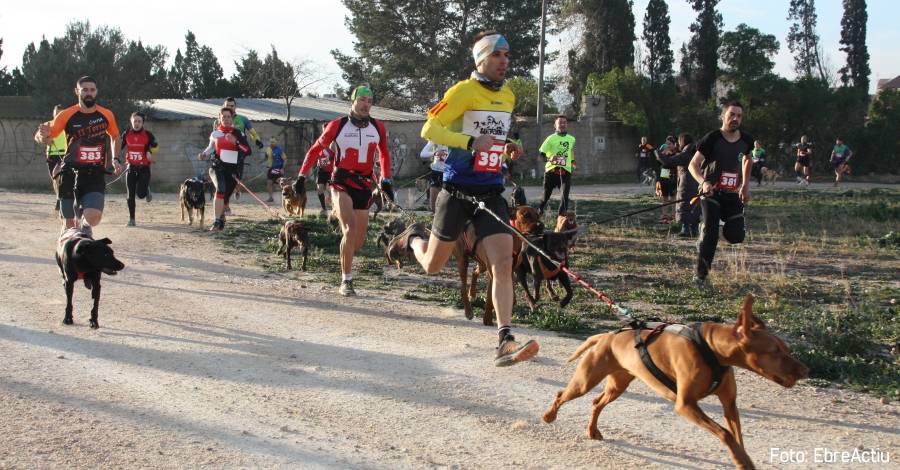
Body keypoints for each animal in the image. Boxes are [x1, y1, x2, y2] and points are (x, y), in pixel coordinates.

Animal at [544, 296, 812, 468]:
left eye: (787, 349)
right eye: (775, 351)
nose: (806, 370)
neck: (711, 349)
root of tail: (607, 335)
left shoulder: (729, 404)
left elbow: (737, 437)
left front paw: (743, 460)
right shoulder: (686, 405)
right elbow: (725, 434)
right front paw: (739, 459)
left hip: (617, 385)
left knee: (596, 402)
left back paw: (592, 430)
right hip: (585, 381)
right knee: (561, 395)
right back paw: (549, 416)